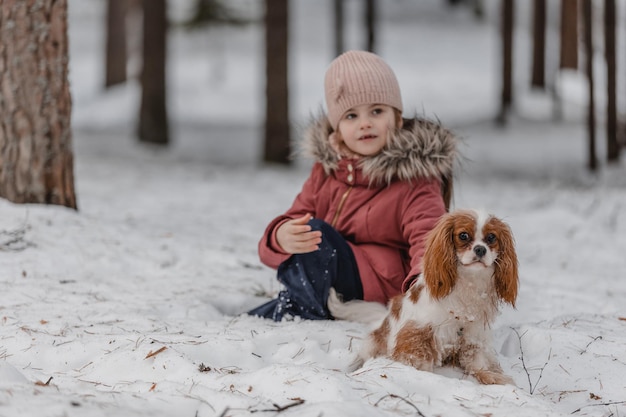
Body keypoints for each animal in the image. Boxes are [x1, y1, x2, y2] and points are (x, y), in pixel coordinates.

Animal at [326, 208, 516, 384]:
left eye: (491, 238)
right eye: (463, 235)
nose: (480, 249)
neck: (469, 281)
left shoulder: (474, 334)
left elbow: (478, 360)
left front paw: (491, 376)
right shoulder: (418, 331)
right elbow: (417, 358)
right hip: (374, 342)